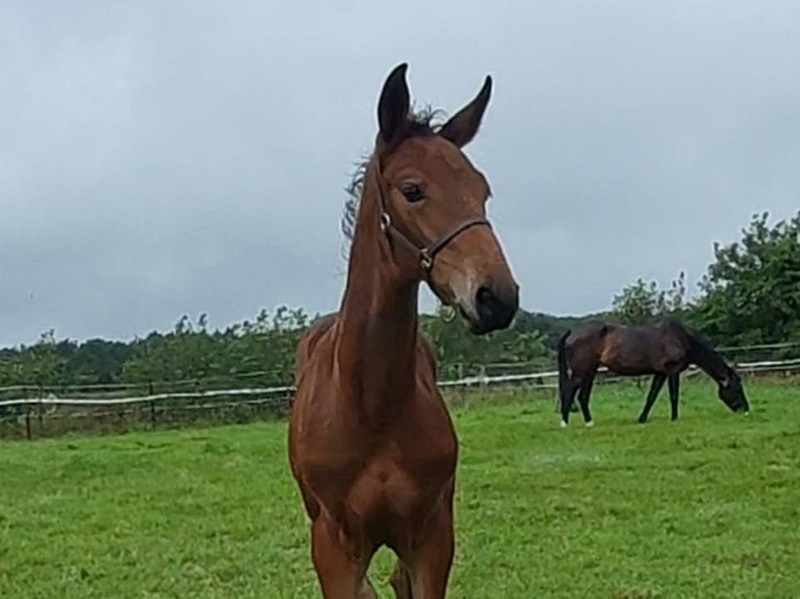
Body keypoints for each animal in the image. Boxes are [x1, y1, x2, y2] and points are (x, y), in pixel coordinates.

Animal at [288, 63, 519, 598]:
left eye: (482, 190)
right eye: (412, 190)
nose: (496, 297)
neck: (372, 406)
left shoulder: (432, 537)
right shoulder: (332, 547)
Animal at [556, 317, 750, 427]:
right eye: (737, 387)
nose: (746, 410)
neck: (680, 338)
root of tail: (572, 331)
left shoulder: (661, 373)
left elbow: (651, 396)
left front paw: (641, 419)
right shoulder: (673, 371)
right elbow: (674, 395)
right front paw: (674, 419)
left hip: (590, 372)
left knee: (582, 396)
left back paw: (589, 422)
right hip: (582, 371)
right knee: (569, 392)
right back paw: (565, 422)